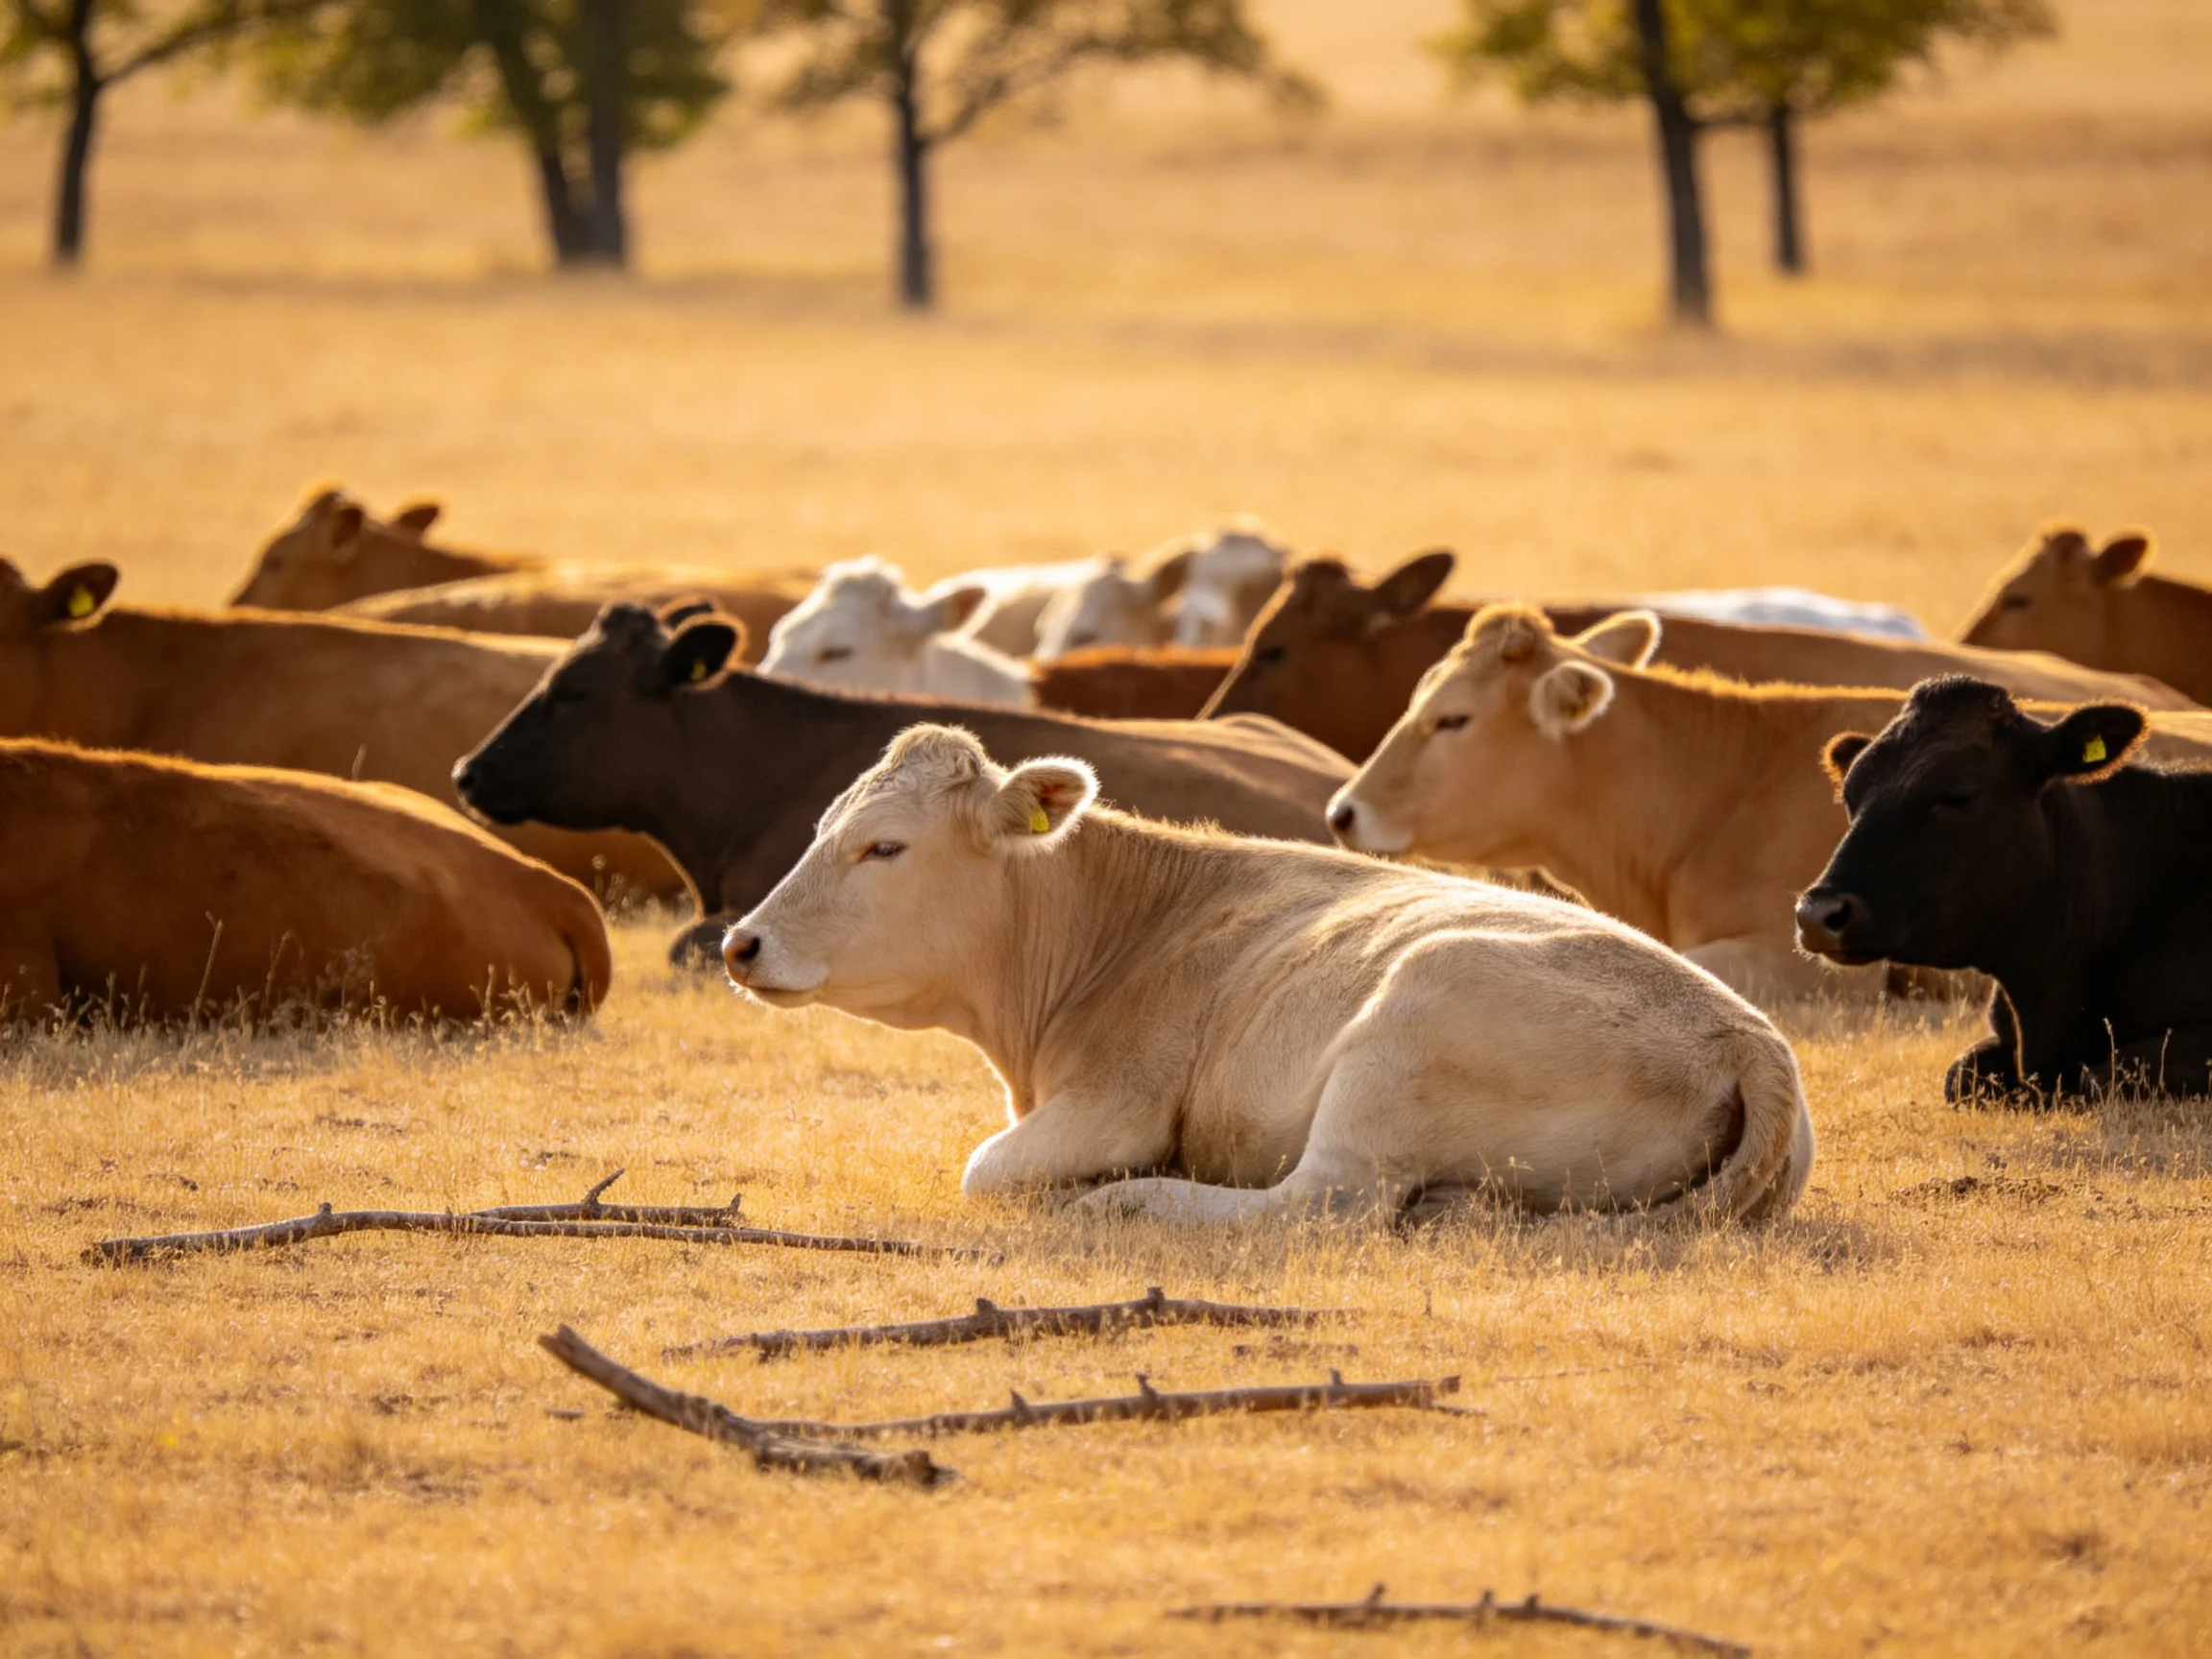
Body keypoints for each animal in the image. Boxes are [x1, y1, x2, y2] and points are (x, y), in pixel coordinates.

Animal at [720, 725, 1814, 1223]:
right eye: (823, 827)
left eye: (884, 847)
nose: (743, 943)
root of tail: (1744, 1037)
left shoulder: (1117, 1100)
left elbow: (985, 1168)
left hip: (1401, 1038)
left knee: (1321, 1207)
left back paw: (1136, 1202)